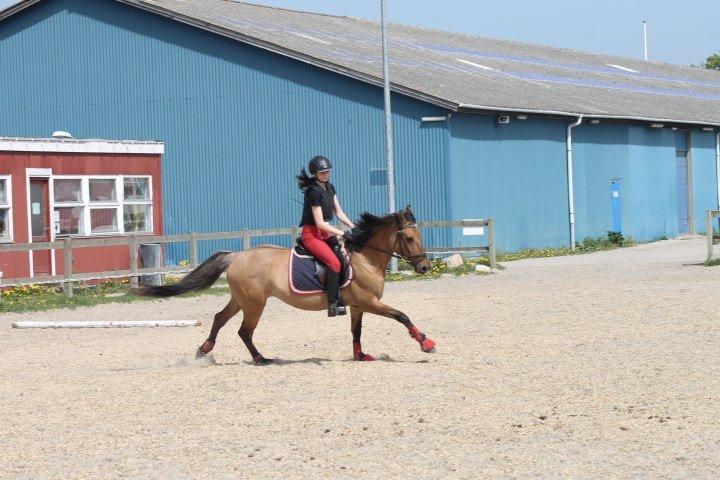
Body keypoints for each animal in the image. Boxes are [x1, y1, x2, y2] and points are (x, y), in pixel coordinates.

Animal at [133, 205, 436, 364]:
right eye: (409, 238)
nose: (424, 267)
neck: (365, 258)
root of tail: (236, 255)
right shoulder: (369, 302)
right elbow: (401, 315)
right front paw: (426, 342)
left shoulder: (358, 306)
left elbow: (356, 332)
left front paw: (361, 356)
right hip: (255, 303)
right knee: (244, 331)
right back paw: (261, 359)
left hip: (241, 299)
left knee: (220, 318)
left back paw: (204, 350)